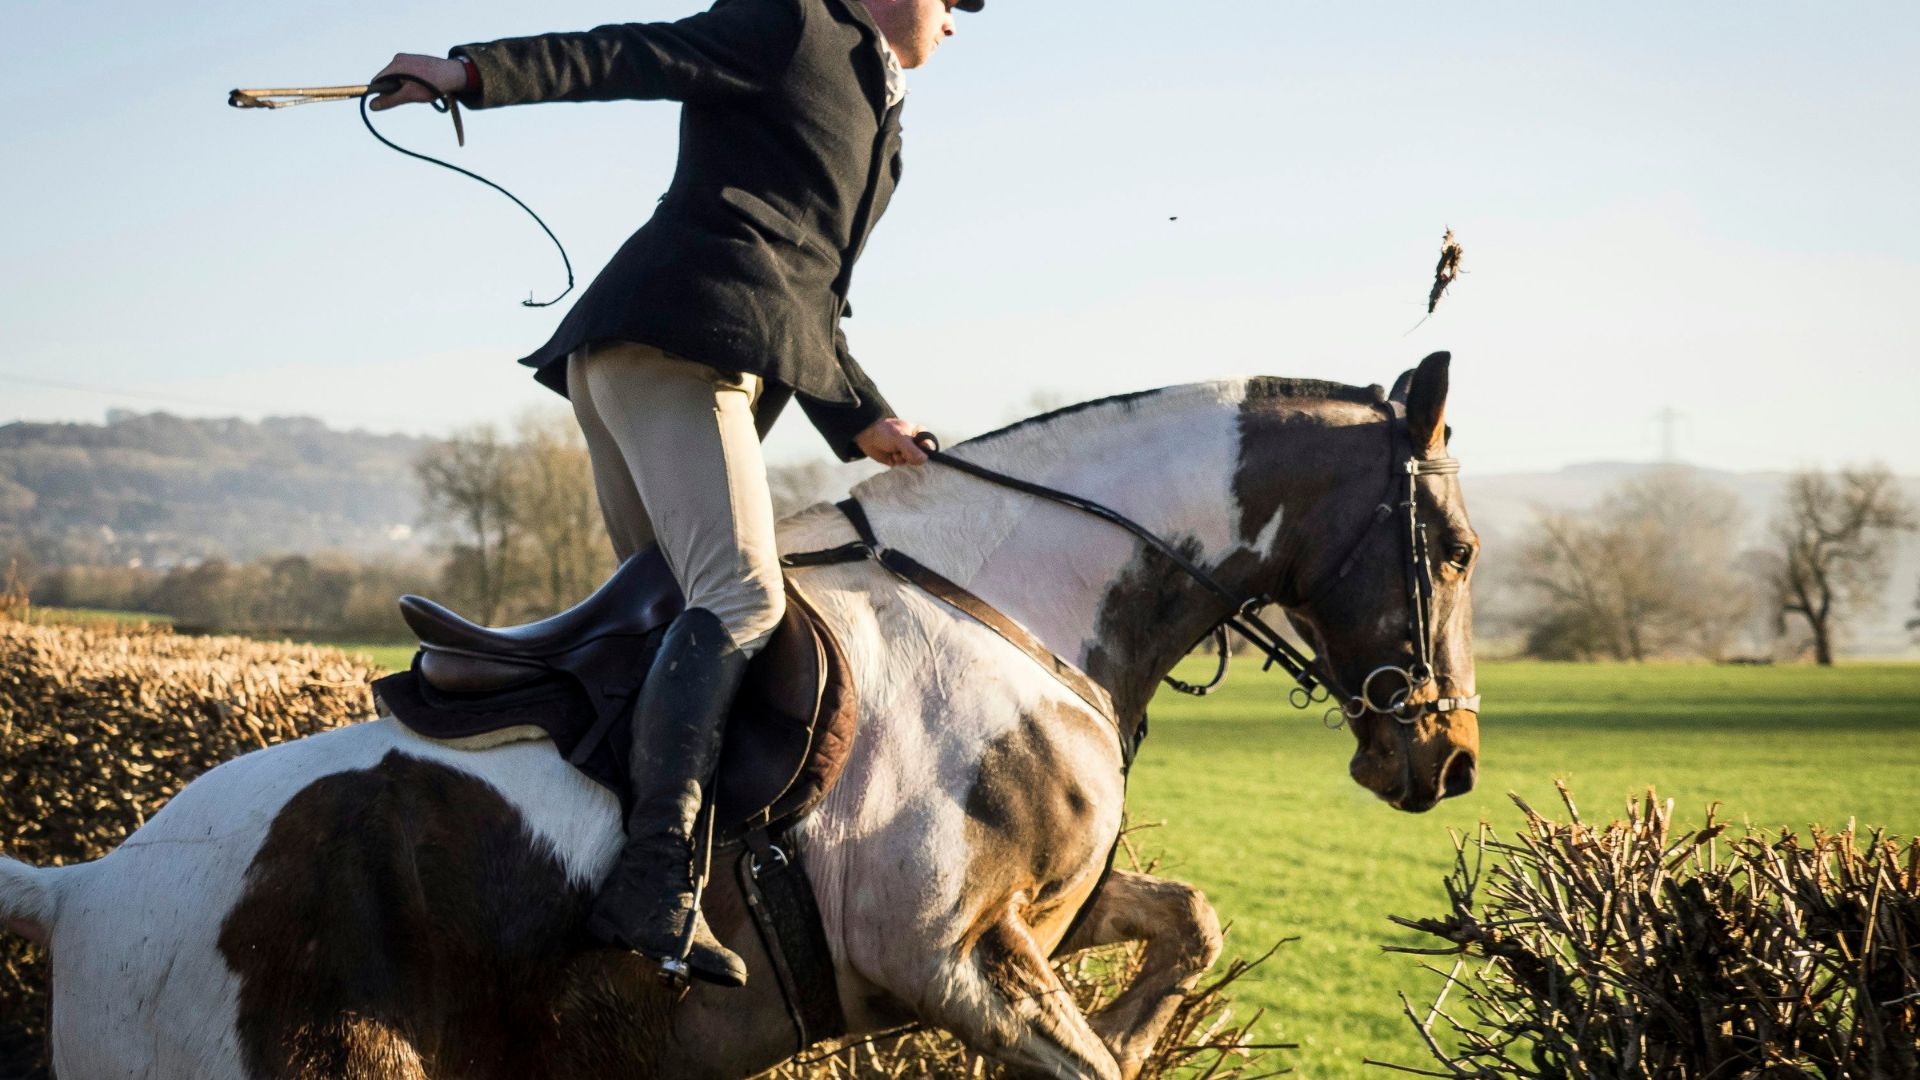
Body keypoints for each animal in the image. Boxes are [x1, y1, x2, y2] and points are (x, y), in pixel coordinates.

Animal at [0, 352, 1479, 1080]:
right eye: (1458, 548)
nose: (1451, 759)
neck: (1012, 598)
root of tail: (83, 889)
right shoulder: (953, 956)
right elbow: (1088, 1049)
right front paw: (1122, 1040)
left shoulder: (1043, 917)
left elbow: (1189, 924)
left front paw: (1140, 1023)